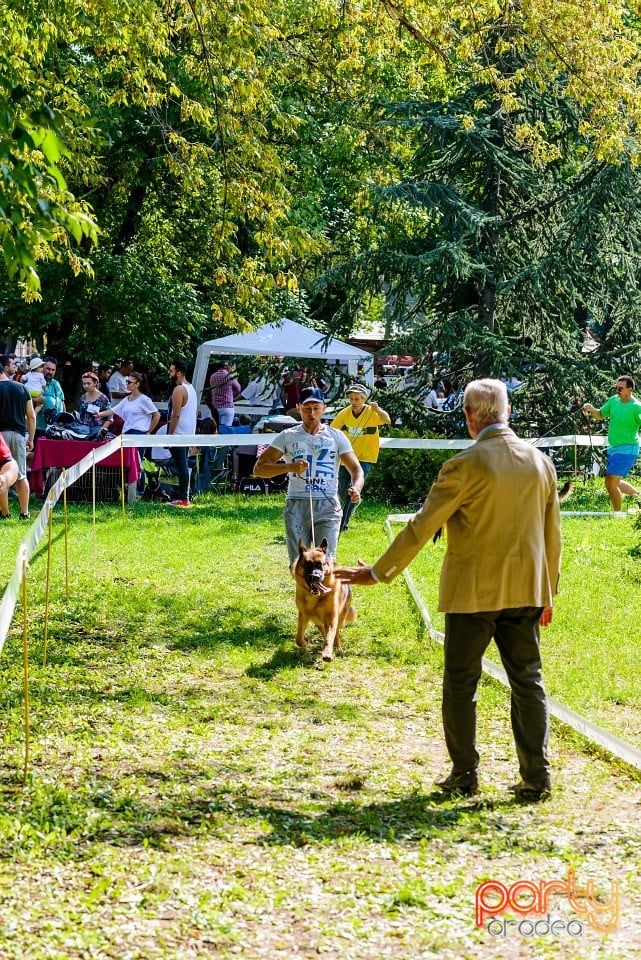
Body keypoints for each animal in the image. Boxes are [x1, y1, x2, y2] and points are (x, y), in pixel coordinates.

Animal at [294, 536, 358, 664]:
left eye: (321, 565)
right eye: (308, 565)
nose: (316, 576)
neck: (315, 598)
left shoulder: (331, 618)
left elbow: (330, 638)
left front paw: (328, 653)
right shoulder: (303, 615)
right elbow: (298, 637)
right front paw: (304, 643)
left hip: (340, 619)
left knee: (336, 634)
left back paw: (337, 648)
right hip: (319, 622)